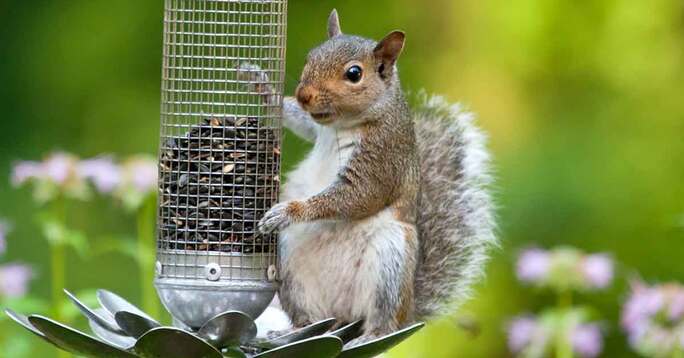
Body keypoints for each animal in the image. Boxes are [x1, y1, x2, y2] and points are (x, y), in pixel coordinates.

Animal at [242, 9, 496, 342]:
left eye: (354, 74)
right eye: (311, 57)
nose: (304, 95)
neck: (343, 124)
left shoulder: (382, 159)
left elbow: (358, 196)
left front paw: (288, 211)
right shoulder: (316, 127)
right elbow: (302, 122)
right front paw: (261, 85)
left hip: (390, 259)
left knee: (382, 318)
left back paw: (371, 334)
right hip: (290, 264)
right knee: (312, 318)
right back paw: (295, 330)